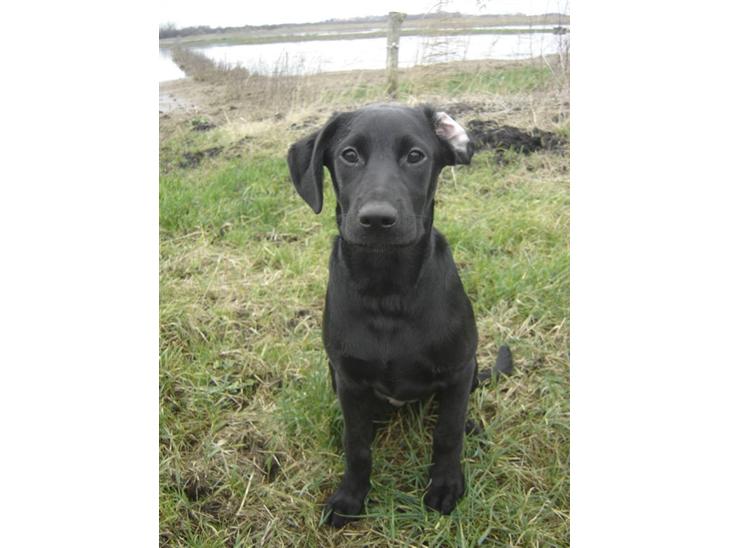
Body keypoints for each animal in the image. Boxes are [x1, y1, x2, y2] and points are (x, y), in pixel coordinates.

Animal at [287, 104, 512, 527]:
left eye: (415, 156)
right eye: (349, 155)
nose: (377, 219)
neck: (386, 289)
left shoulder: (458, 368)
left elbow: (447, 434)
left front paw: (445, 485)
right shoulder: (349, 380)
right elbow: (357, 444)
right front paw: (351, 496)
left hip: (471, 369)